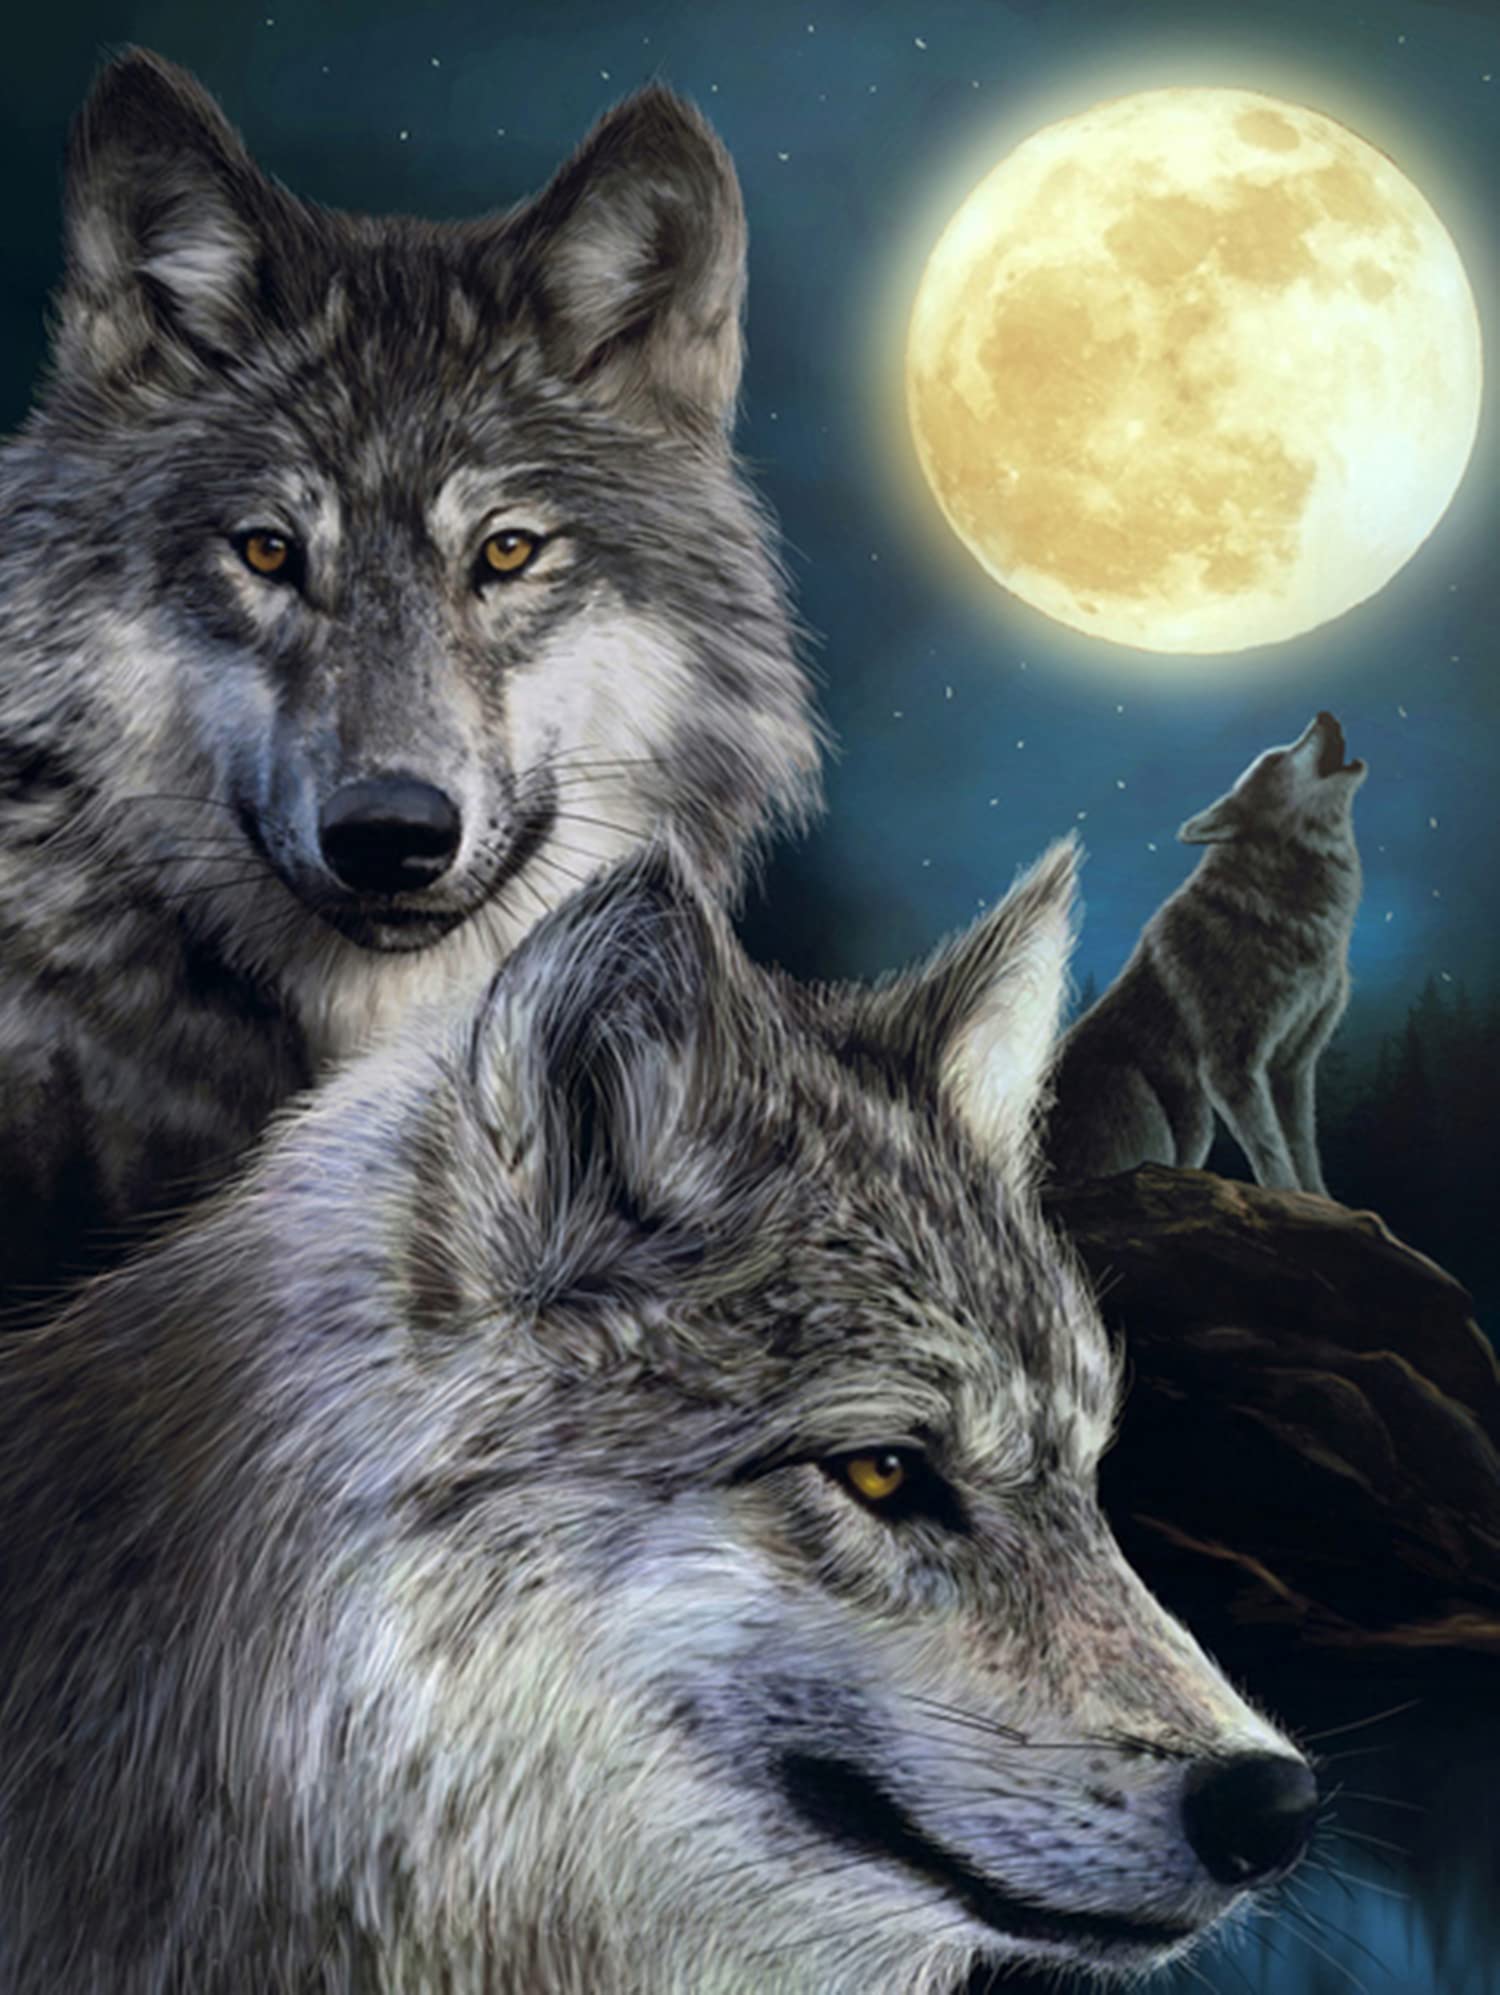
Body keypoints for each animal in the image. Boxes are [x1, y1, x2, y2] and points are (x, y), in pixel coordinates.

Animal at [1046, 711, 1366, 1195]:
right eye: (1276, 760)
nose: (1325, 715)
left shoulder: (1292, 1066)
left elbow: (1303, 1148)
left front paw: (1322, 1202)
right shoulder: (1230, 1067)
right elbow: (1272, 1151)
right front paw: (1287, 1196)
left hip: (1194, 1121)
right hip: (1153, 1104)